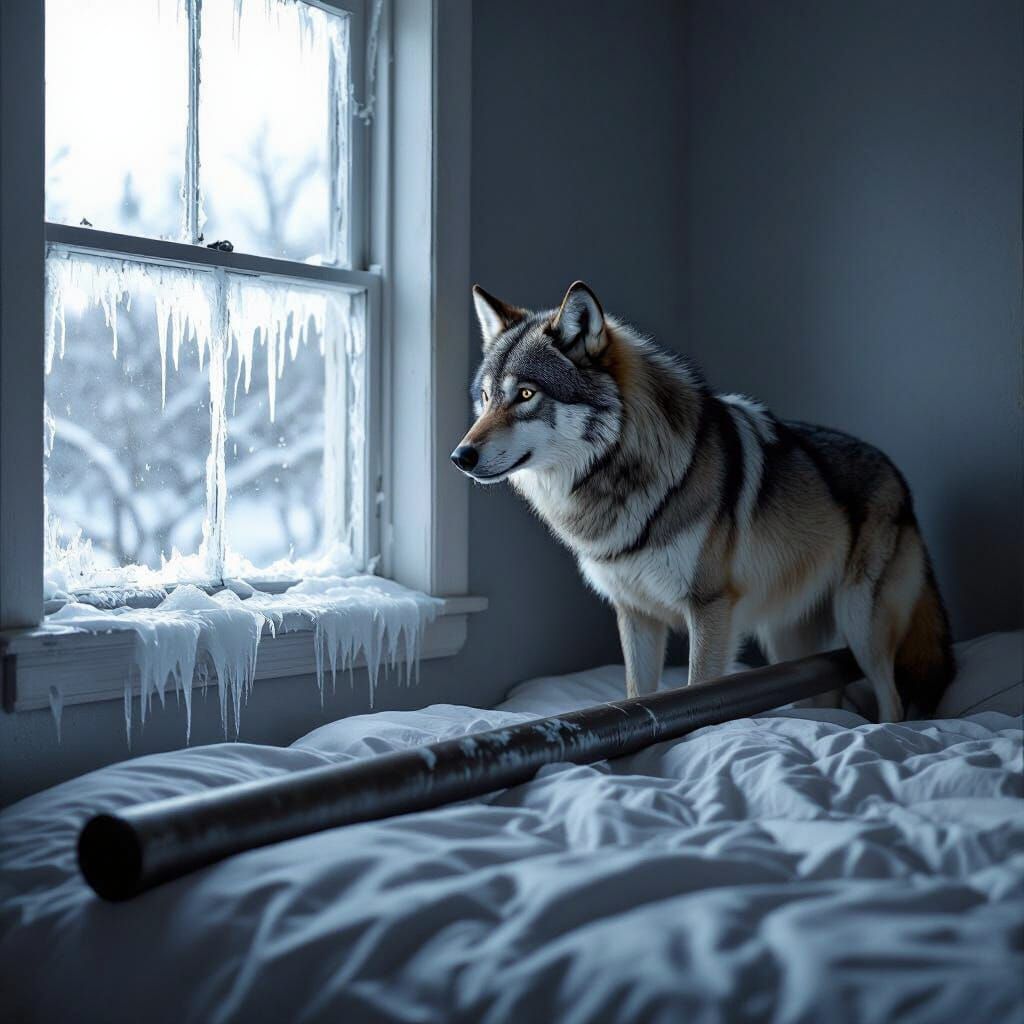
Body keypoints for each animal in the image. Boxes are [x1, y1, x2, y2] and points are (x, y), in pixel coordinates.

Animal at [451, 281, 955, 721]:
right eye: (486, 397)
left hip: (860, 627)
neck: (620, 481)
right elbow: (637, 696)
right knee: (824, 699)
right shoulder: (634, 616)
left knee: (892, 701)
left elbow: (697, 689)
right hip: (786, 638)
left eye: (526, 394)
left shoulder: (709, 609)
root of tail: (898, 475)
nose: (460, 456)